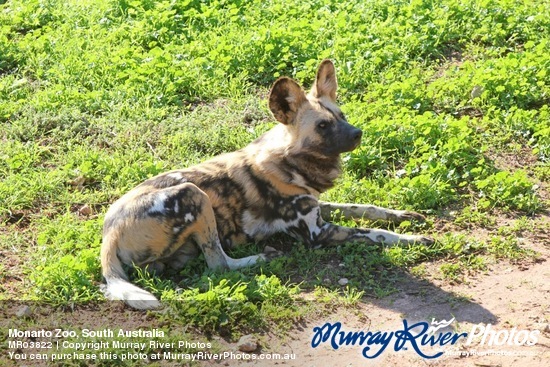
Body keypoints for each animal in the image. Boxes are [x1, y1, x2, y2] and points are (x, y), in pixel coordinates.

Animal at [100, 60, 436, 310]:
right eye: (323, 126)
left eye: (342, 115)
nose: (358, 133)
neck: (290, 163)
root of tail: (108, 233)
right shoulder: (317, 234)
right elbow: (376, 234)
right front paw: (414, 239)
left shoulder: (318, 206)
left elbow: (363, 207)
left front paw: (403, 216)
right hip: (193, 196)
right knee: (219, 264)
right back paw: (263, 257)